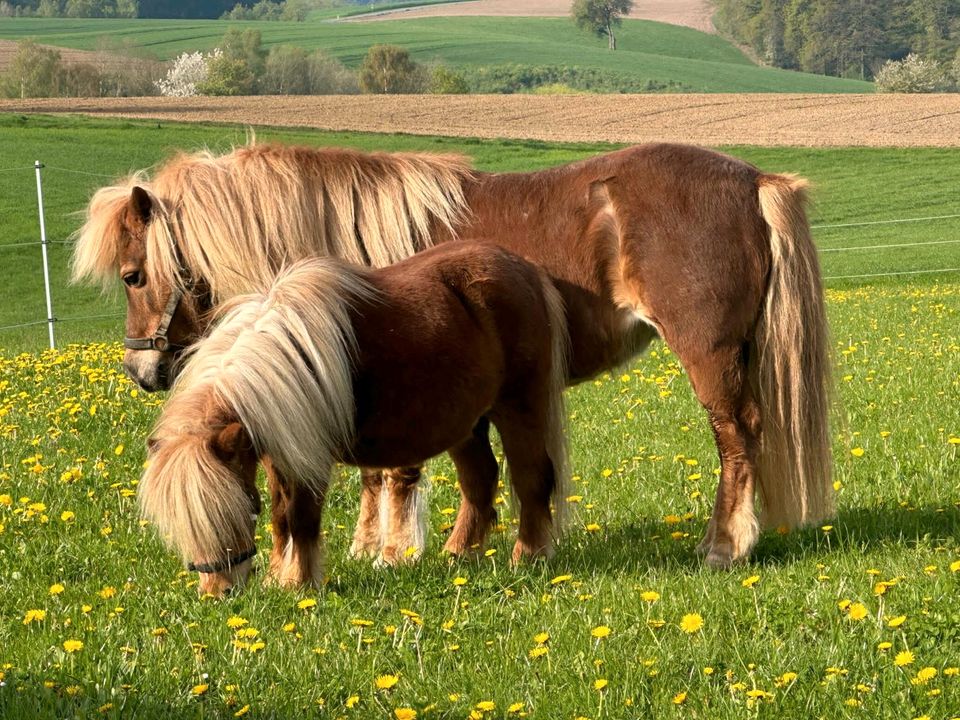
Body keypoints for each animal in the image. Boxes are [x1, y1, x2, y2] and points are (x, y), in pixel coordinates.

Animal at [139, 242, 568, 596]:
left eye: (241, 510)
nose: (220, 592)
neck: (287, 364)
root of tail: (524, 267)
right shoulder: (276, 455)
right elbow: (280, 517)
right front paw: (280, 576)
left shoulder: (310, 460)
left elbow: (301, 517)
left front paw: (300, 584)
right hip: (467, 425)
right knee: (480, 480)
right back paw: (460, 554)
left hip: (520, 408)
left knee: (531, 477)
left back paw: (529, 555)